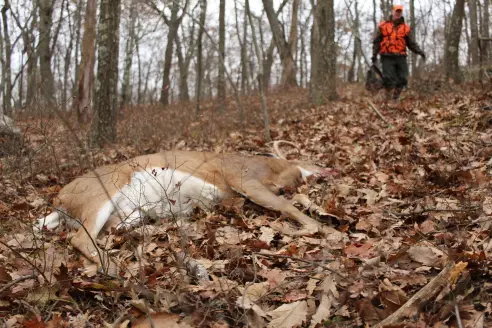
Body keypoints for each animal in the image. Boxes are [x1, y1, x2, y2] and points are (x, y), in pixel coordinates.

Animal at [37, 142, 338, 276]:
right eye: (311, 159)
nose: (329, 168)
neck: (271, 170)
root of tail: (59, 201)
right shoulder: (244, 180)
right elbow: (287, 206)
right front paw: (325, 231)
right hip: (104, 189)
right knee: (80, 237)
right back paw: (115, 269)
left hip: (130, 211)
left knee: (112, 228)